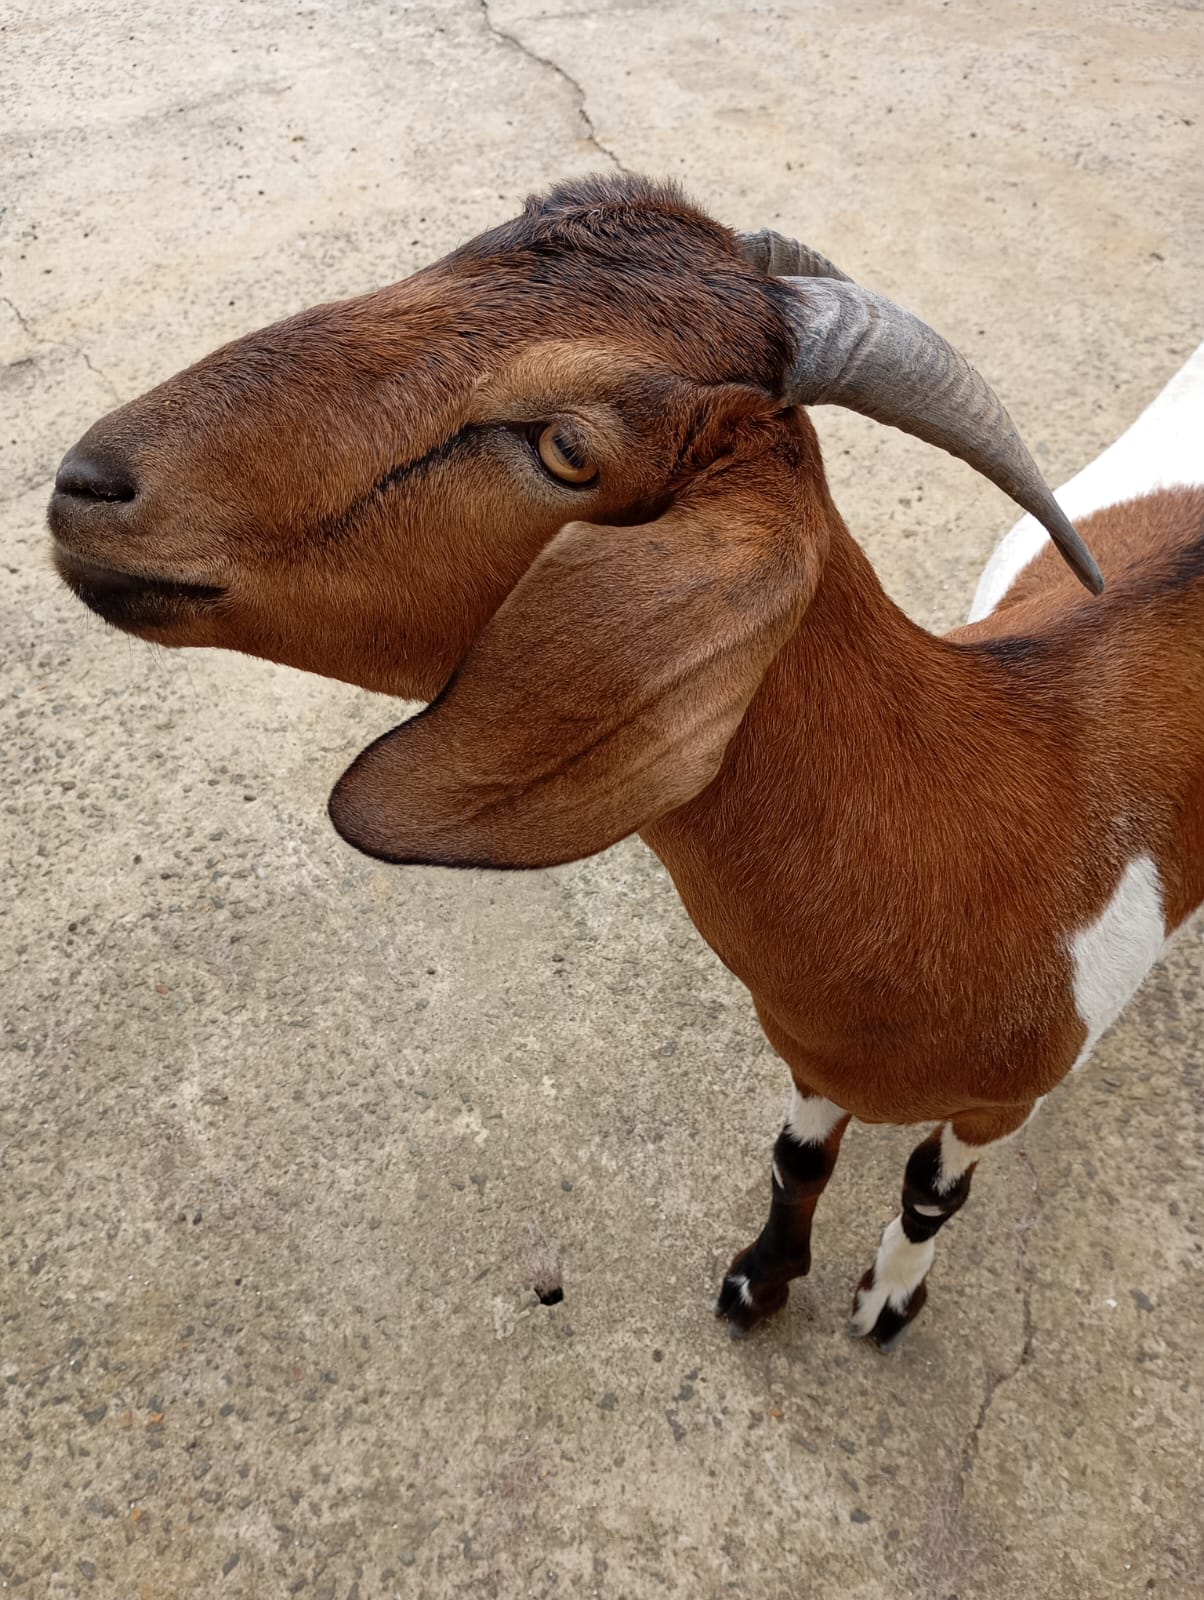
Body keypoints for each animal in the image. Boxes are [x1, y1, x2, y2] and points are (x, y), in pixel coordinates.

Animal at [48, 174, 1204, 1349]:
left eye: (568, 448)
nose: (90, 482)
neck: (995, 814)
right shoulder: (807, 1050)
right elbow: (795, 1158)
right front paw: (758, 1283)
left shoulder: (999, 1104)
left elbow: (930, 1193)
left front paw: (884, 1303)